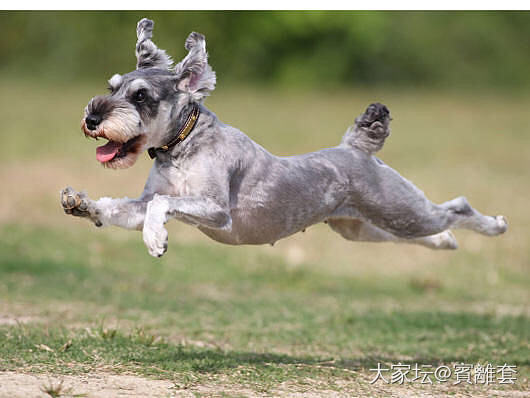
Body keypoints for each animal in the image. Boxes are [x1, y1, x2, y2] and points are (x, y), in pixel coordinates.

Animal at [59, 17, 506, 258]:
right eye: (112, 86)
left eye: (140, 96)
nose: (92, 118)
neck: (183, 146)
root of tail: (356, 148)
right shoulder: (145, 202)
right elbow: (122, 208)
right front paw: (82, 204)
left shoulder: (214, 208)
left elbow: (161, 206)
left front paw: (155, 240)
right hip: (363, 226)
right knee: (425, 231)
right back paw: (446, 242)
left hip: (401, 210)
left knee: (457, 208)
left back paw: (495, 225)